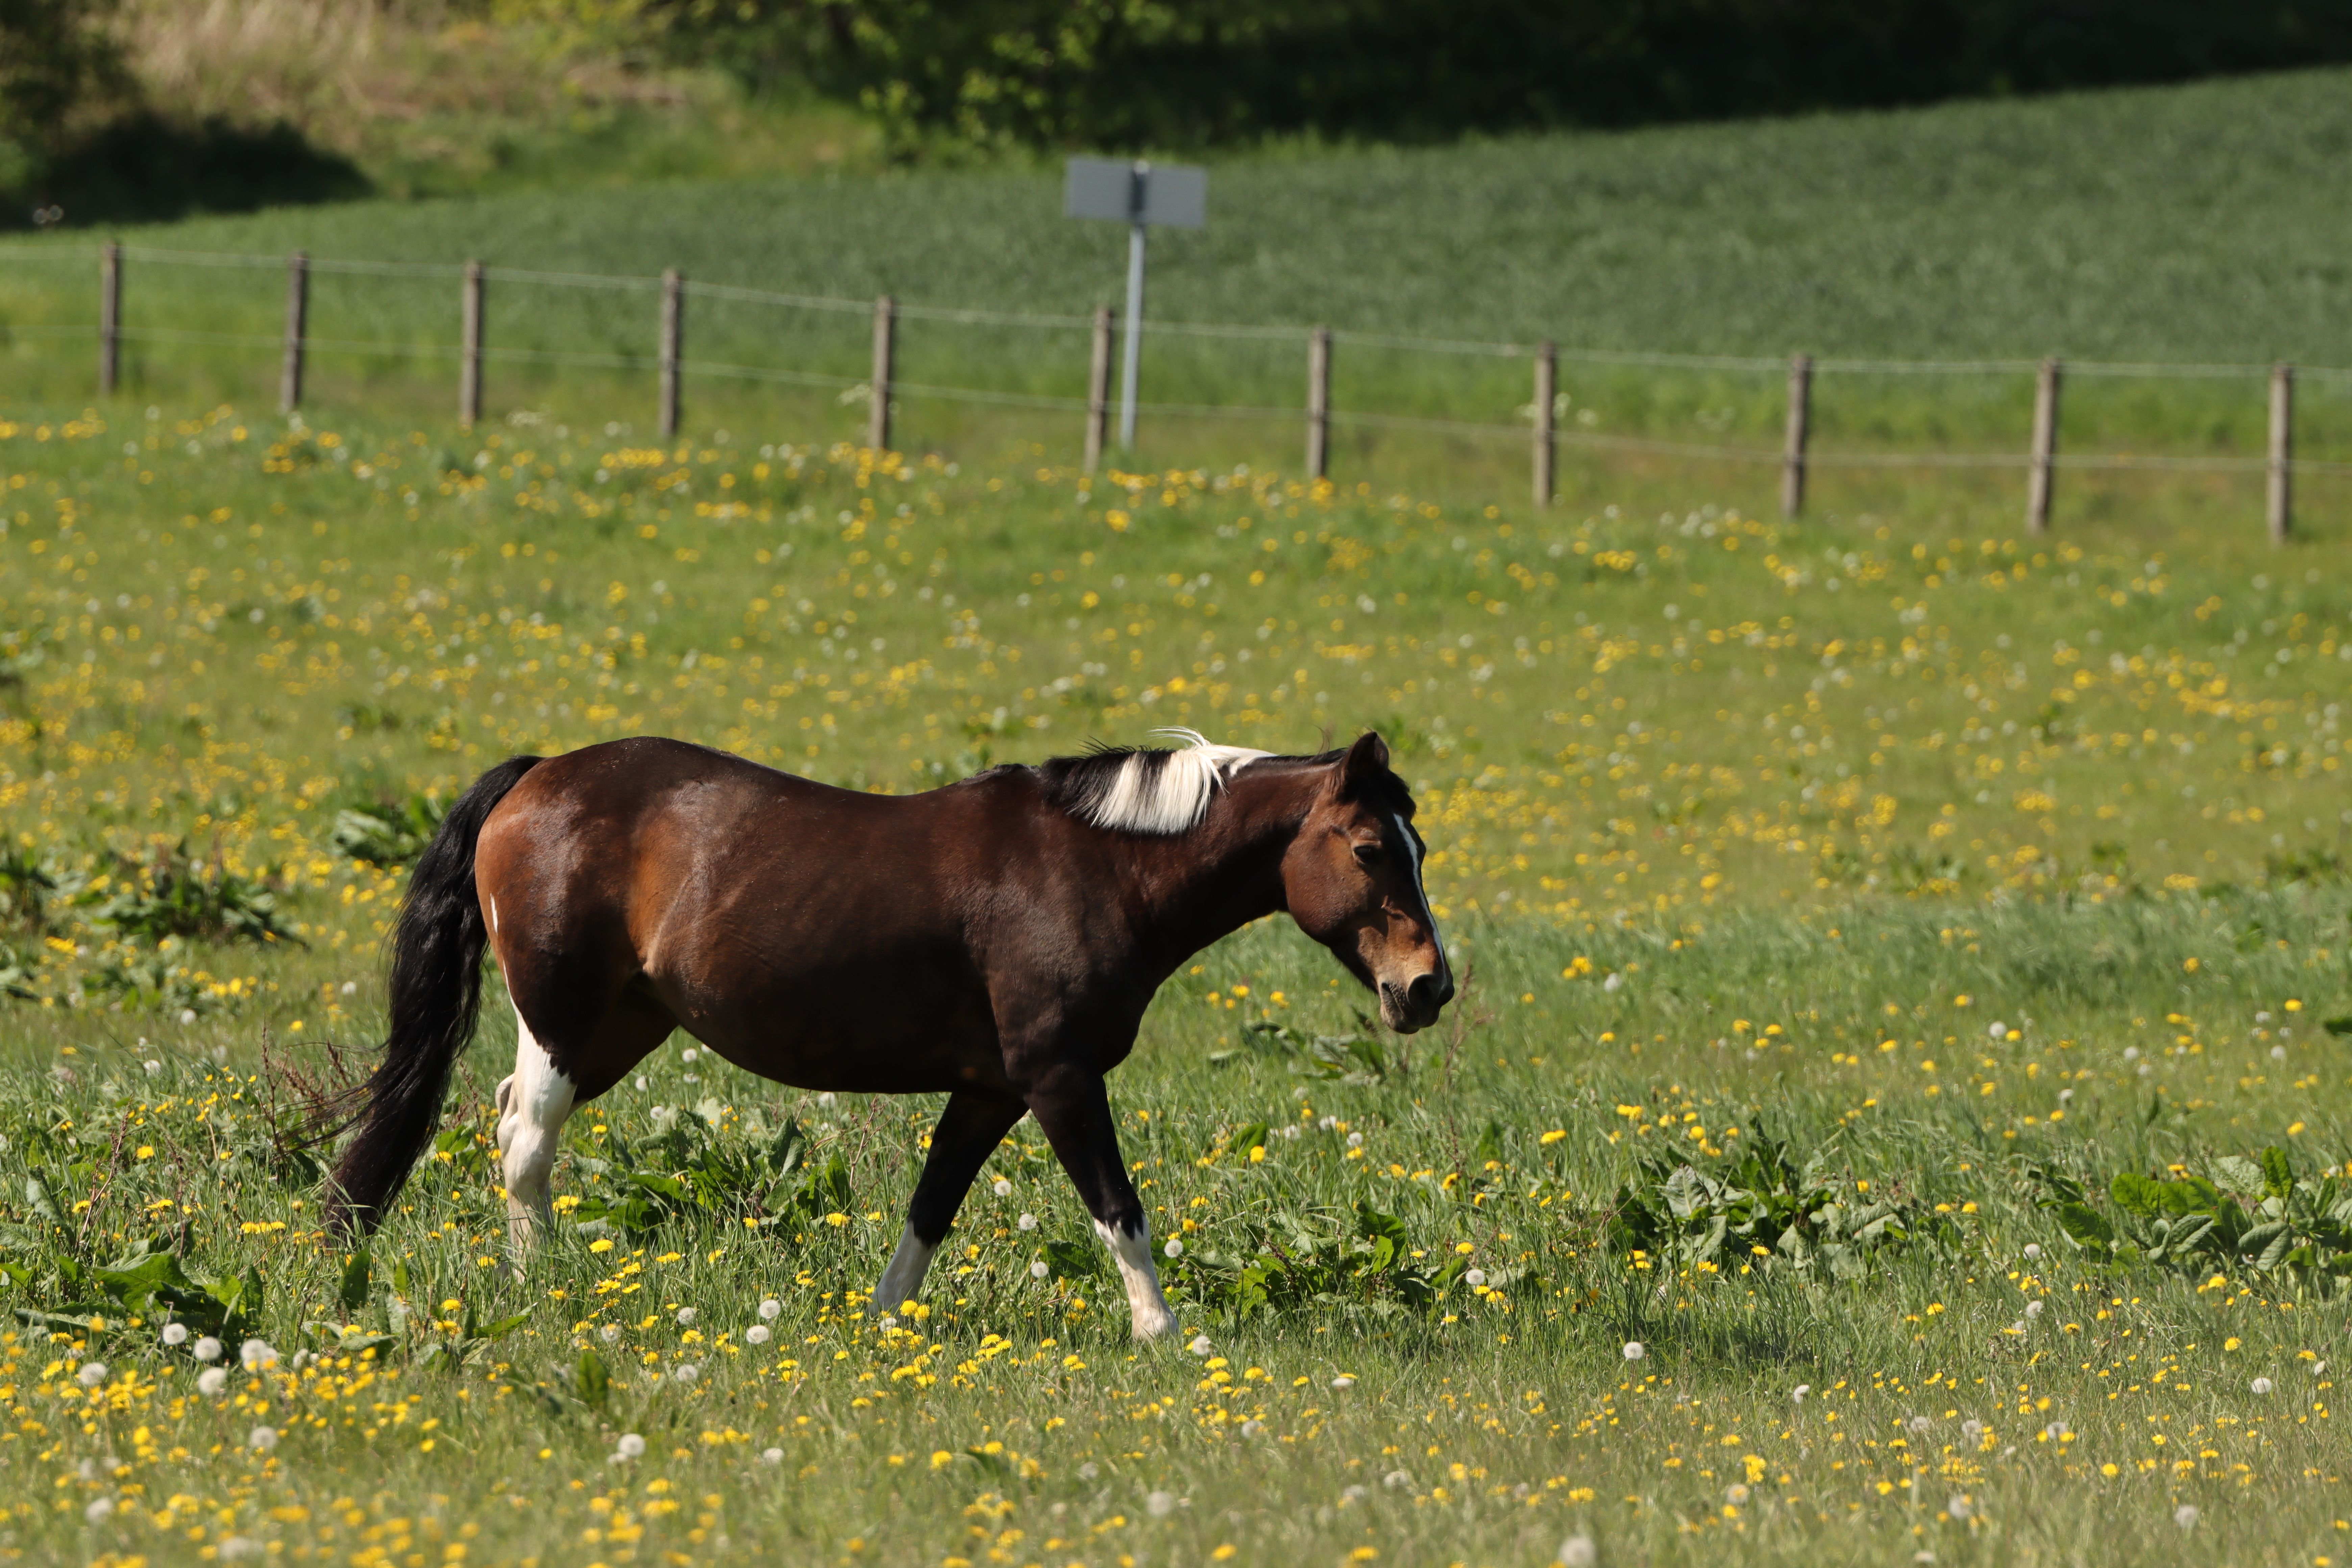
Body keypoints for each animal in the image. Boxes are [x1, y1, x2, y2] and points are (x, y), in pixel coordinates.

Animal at [322, 728, 1452, 1340]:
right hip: (562, 1016)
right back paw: (537, 1286)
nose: (1428, 986)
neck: (1099, 868)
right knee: (526, 1142)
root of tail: (538, 774)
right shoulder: (1060, 1079)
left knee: (507, 1118)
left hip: (620, 1026)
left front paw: (881, 1326)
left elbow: (930, 1208)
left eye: (1419, 846)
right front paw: (1165, 1336)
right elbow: (1119, 1212)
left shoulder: (991, 1090)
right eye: (1367, 848)